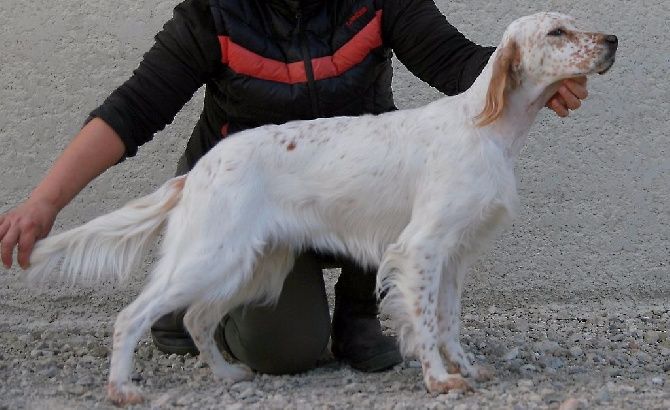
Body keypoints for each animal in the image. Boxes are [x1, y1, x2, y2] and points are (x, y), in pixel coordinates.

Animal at [23, 11, 616, 406]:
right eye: (557, 32)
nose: (613, 39)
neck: (487, 129)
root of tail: (202, 167)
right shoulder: (421, 248)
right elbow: (426, 324)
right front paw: (439, 379)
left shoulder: (456, 255)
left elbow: (448, 321)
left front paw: (468, 370)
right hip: (213, 255)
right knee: (135, 316)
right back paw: (122, 386)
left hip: (252, 264)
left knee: (197, 317)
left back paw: (229, 377)